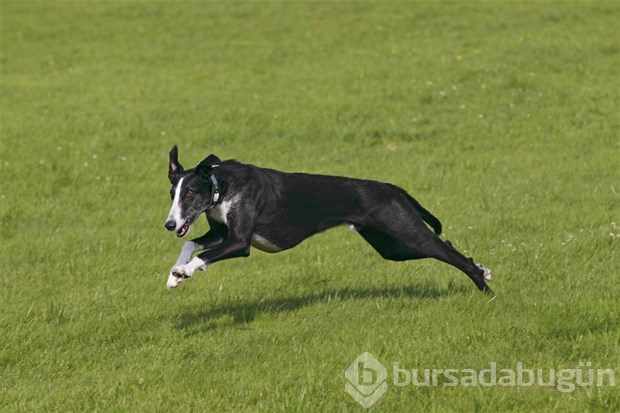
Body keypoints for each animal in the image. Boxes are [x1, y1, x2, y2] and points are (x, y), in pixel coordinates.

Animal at [162, 146, 492, 292]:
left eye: (190, 193)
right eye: (172, 194)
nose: (169, 225)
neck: (222, 186)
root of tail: (391, 188)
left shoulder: (239, 243)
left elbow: (204, 254)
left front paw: (184, 271)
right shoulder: (221, 233)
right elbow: (191, 244)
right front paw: (173, 275)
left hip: (407, 231)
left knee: (448, 251)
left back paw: (483, 287)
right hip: (393, 248)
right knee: (449, 246)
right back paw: (483, 270)